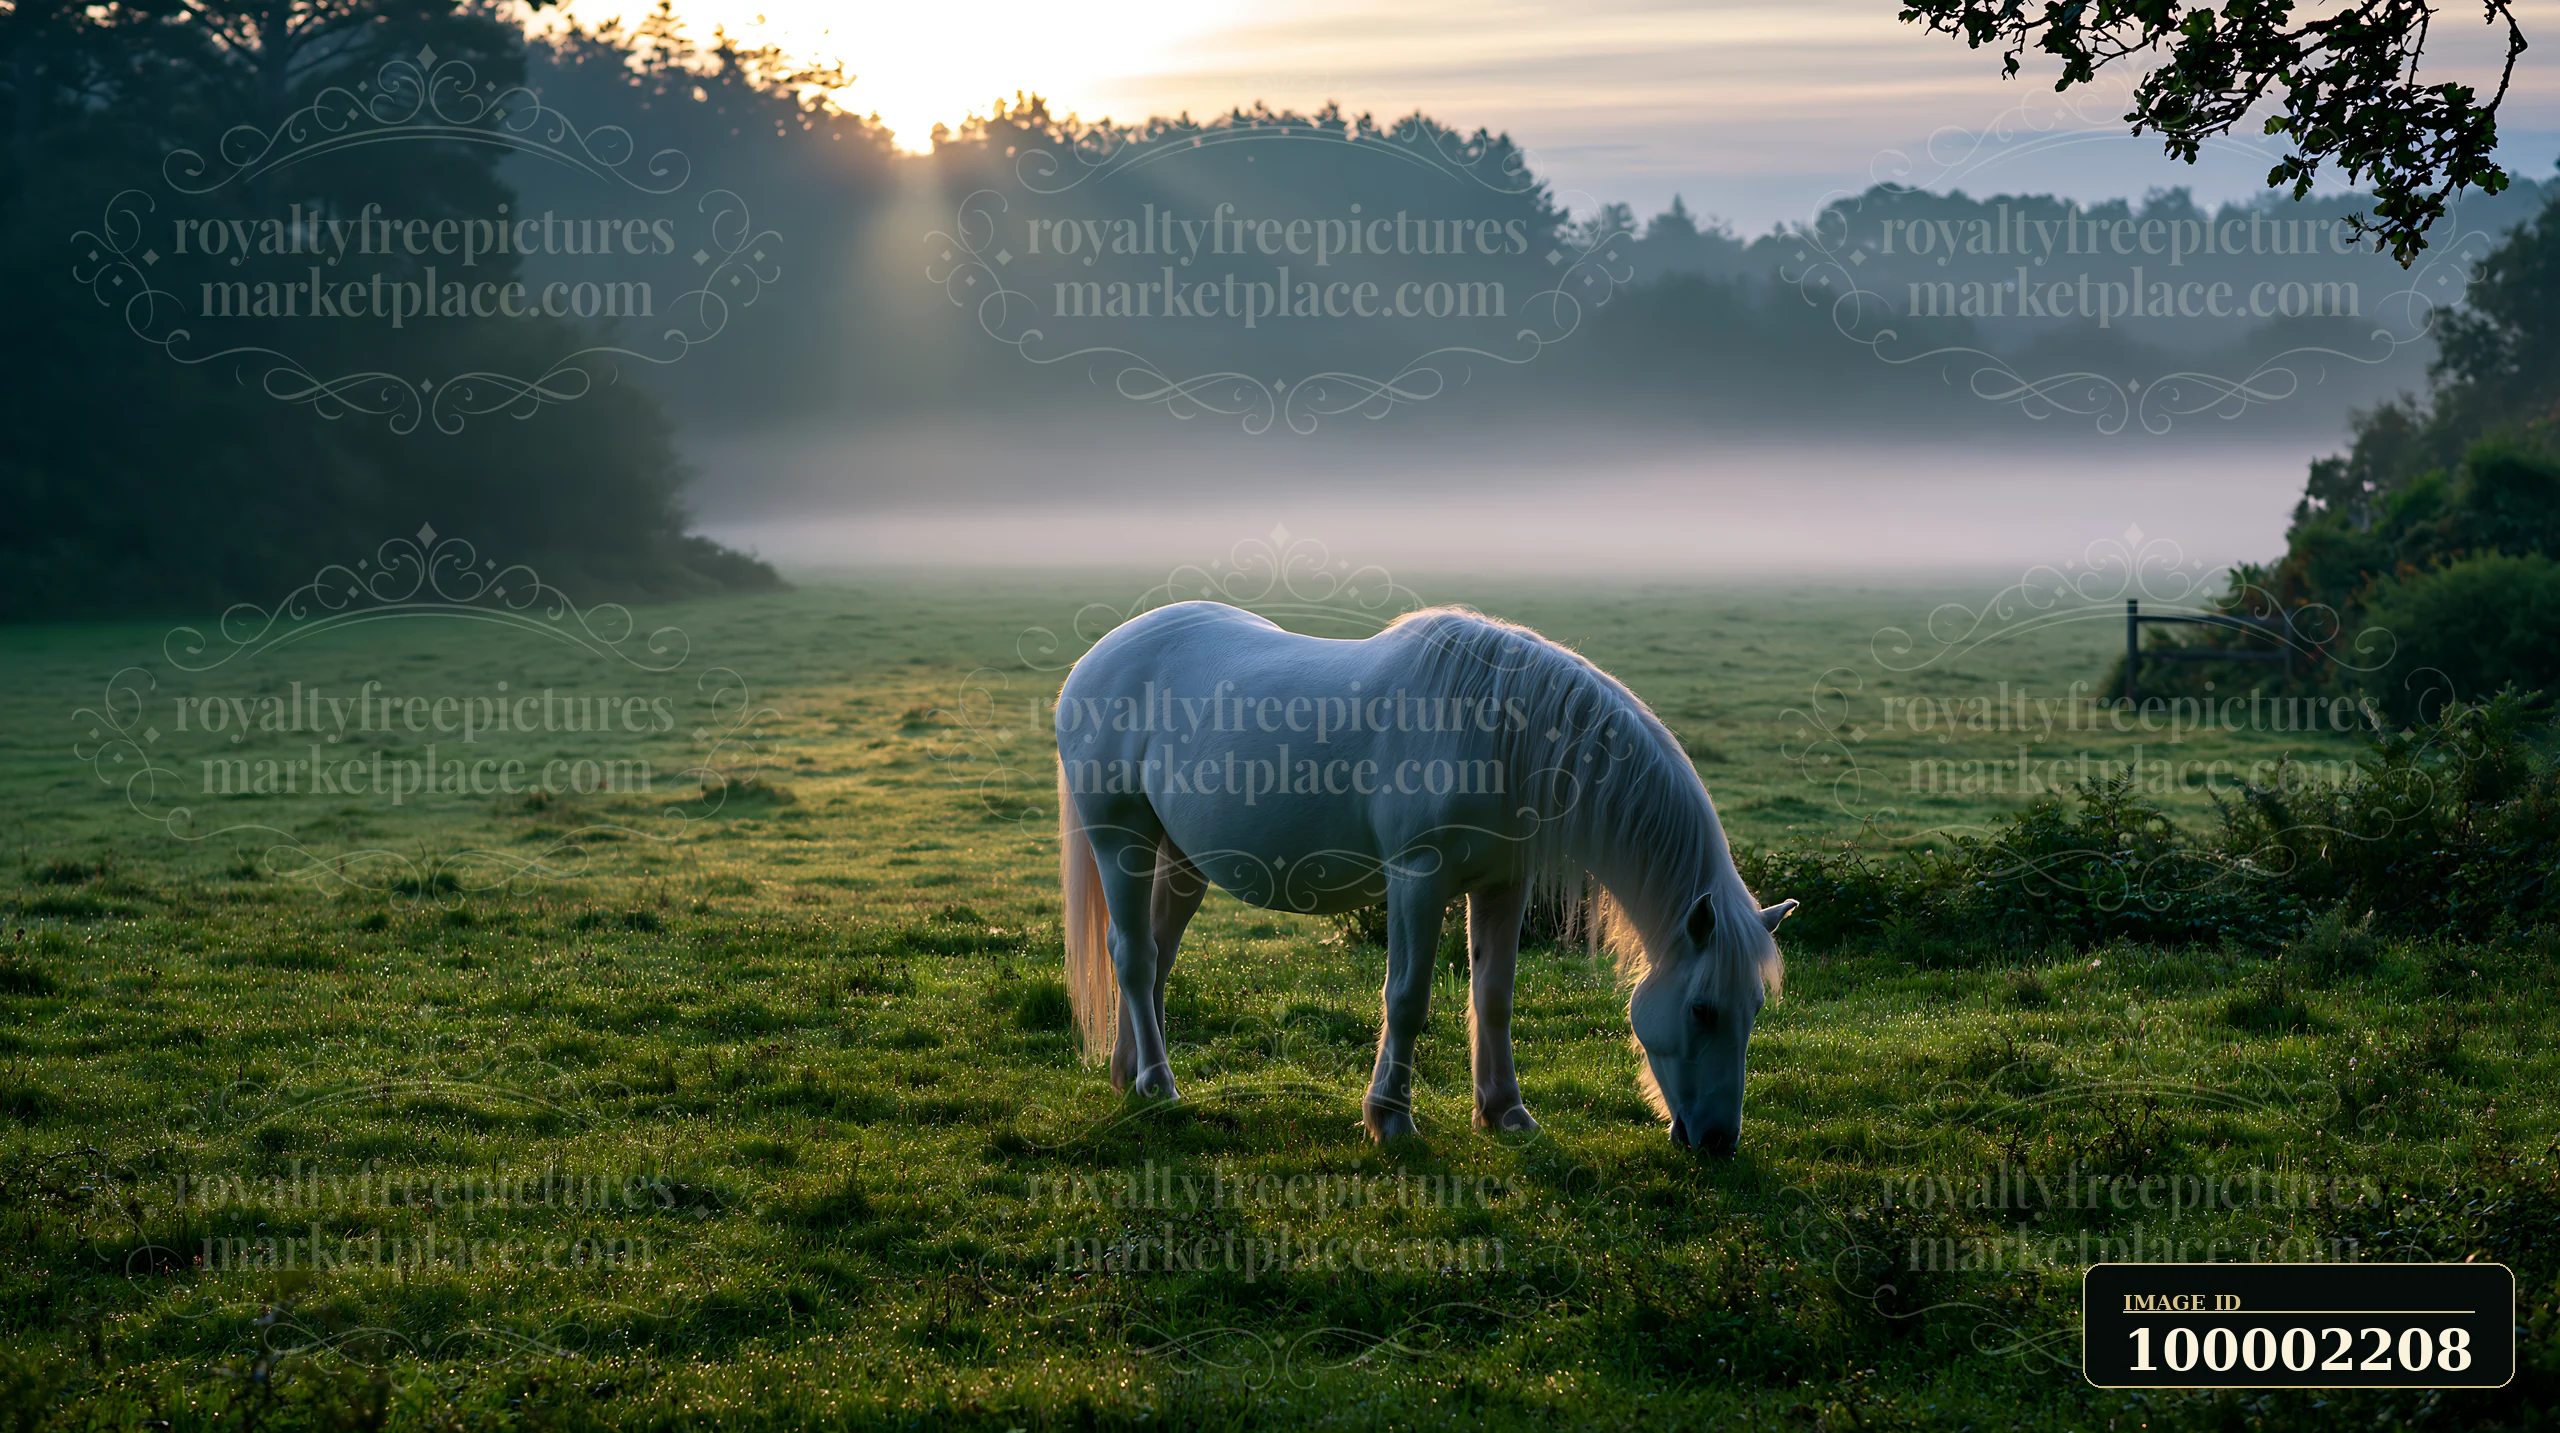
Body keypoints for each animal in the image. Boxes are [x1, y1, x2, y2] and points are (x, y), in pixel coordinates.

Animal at [1053, 600, 1797, 1153]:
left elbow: (1494, 995)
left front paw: (1506, 1113)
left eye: (1755, 1009)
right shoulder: (1418, 878)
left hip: (1181, 858)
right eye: (1703, 1010)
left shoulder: (1503, 884)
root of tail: (1095, 660)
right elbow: (1406, 998)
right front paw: (1390, 1118)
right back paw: (1158, 1085)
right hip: (1120, 840)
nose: (1718, 1142)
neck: (1498, 733)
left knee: (1156, 954)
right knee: (1135, 956)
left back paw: (1129, 1075)